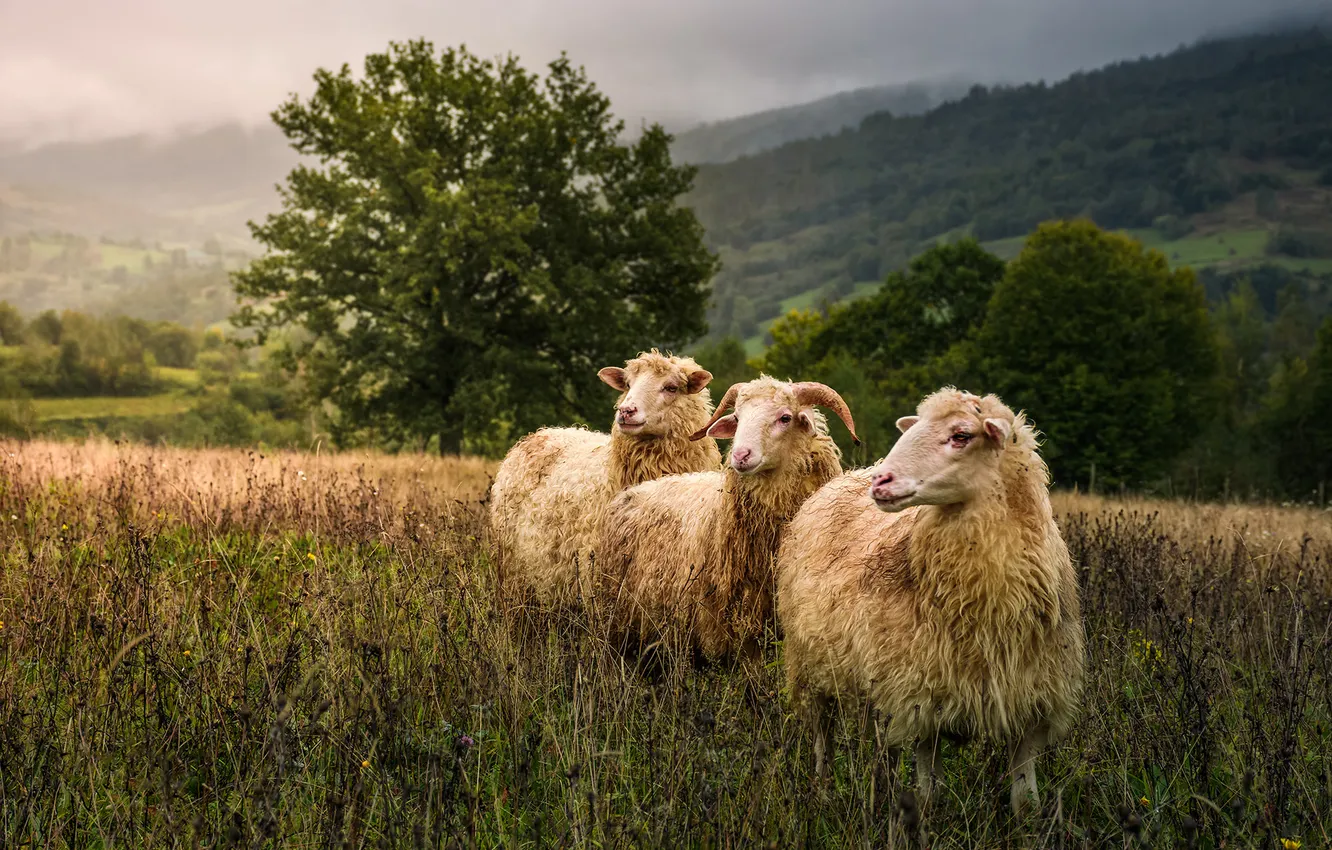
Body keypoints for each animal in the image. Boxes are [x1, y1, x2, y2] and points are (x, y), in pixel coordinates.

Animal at [593, 376, 860, 662]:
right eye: (738, 418)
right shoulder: (738, 632)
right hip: (617, 626)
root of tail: (633, 490)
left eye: (785, 418)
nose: (740, 456)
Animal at [776, 387, 1085, 817]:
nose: (881, 481)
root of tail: (848, 476)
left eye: (961, 435)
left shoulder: (1030, 701)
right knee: (822, 736)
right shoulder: (922, 697)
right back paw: (822, 791)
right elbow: (928, 793)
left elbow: (1025, 798)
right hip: (810, 668)